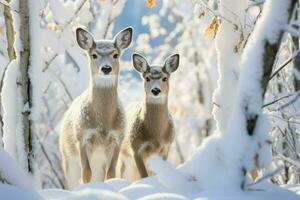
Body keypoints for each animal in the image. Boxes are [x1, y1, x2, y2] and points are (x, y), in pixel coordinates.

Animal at [58, 27, 132, 191]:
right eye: (94, 55)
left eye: (115, 54)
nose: (106, 68)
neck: (103, 124)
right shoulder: (82, 137)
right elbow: (86, 174)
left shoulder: (118, 138)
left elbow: (111, 173)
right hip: (68, 156)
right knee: (71, 181)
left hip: (98, 160)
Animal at [116, 53, 179, 181]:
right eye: (147, 78)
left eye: (165, 78)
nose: (155, 90)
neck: (156, 135)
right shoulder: (136, 147)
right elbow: (144, 175)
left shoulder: (166, 148)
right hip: (124, 160)